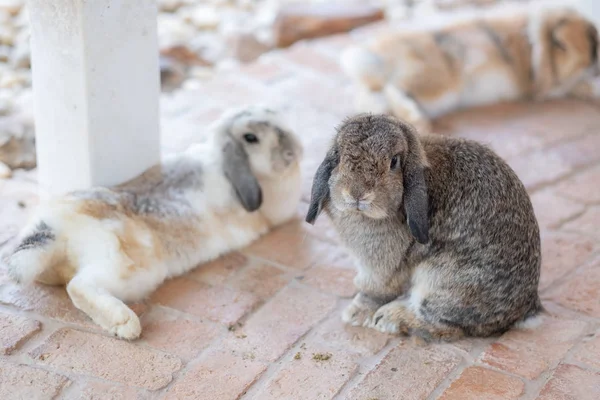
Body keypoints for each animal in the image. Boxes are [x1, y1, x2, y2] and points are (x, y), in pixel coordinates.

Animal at [308, 114, 540, 342]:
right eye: (339, 157)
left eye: (394, 162)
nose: (357, 193)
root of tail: (523, 311)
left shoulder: (380, 265)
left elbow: (374, 290)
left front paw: (354, 314)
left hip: (440, 282)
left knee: (445, 326)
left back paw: (389, 318)